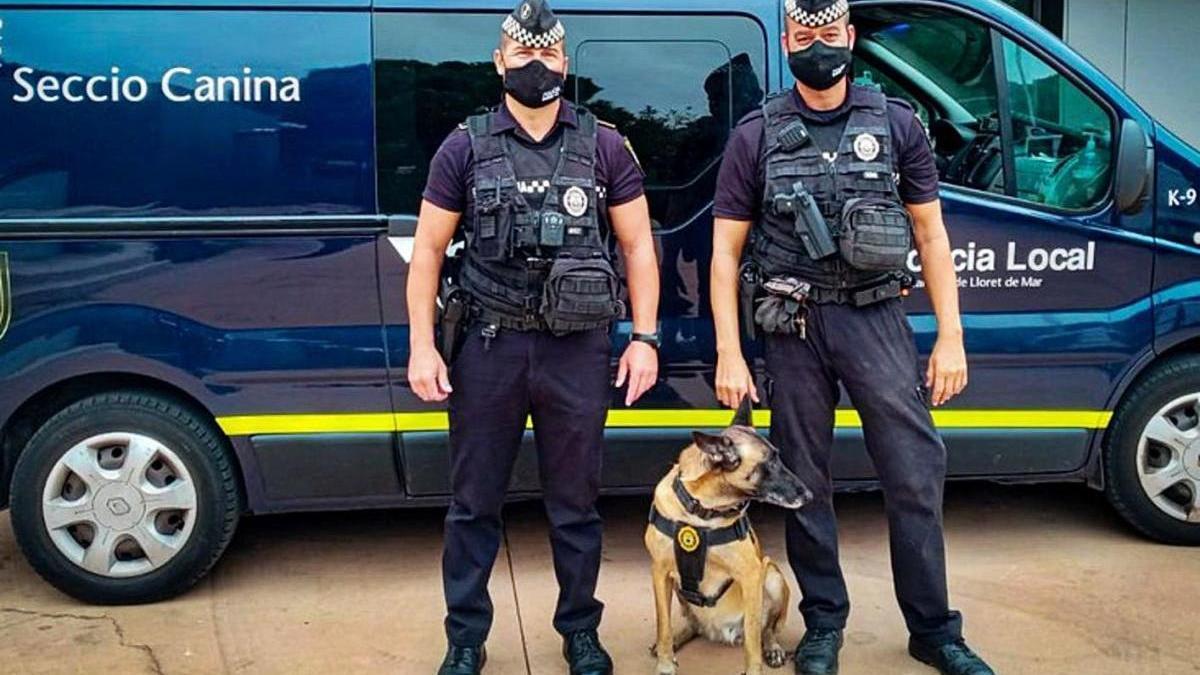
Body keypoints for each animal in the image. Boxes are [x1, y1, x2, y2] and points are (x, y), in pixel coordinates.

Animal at [648, 396, 816, 667]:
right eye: (770, 463)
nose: (810, 495)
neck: (700, 511)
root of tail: (716, 631)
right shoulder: (660, 572)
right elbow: (663, 626)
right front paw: (665, 664)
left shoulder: (750, 575)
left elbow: (753, 644)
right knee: (691, 624)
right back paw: (677, 639)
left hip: (771, 575)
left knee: (767, 629)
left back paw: (773, 648)